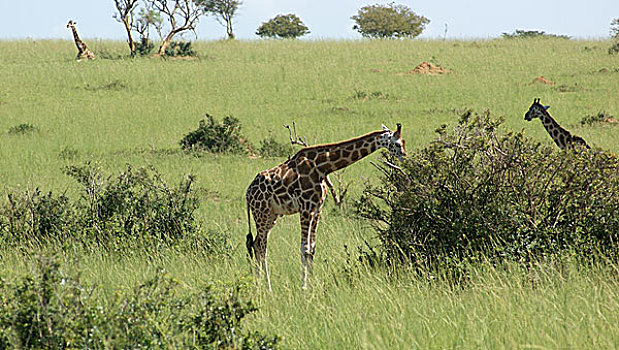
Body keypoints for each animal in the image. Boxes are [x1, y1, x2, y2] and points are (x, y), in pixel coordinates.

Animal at [245, 124, 410, 288]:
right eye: (397, 144)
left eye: (404, 141)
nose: (405, 157)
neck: (322, 167)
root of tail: (248, 193)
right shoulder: (306, 207)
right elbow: (304, 248)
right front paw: (304, 287)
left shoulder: (317, 208)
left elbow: (312, 248)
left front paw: (313, 285)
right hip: (261, 212)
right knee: (261, 246)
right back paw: (267, 287)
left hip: (271, 215)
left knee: (256, 244)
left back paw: (258, 284)